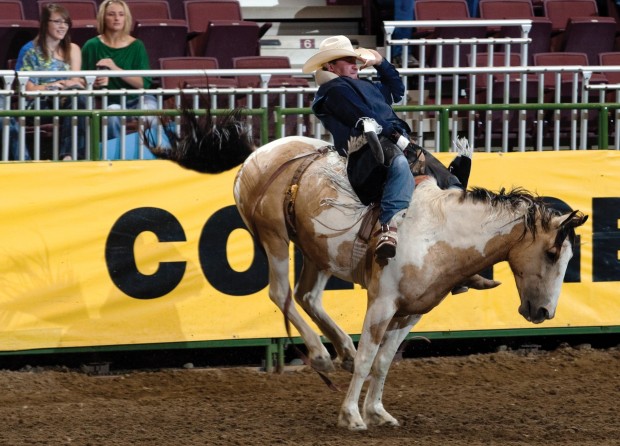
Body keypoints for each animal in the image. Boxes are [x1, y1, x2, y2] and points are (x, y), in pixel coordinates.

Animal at [149, 111, 588, 432]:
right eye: (552, 253)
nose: (544, 312)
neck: (439, 231)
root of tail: (260, 152)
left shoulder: (412, 311)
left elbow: (383, 360)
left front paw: (377, 411)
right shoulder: (382, 301)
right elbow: (368, 357)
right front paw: (351, 415)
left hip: (317, 252)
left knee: (308, 296)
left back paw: (338, 348)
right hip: (273, 237)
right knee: (281, 294)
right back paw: (321, 355)